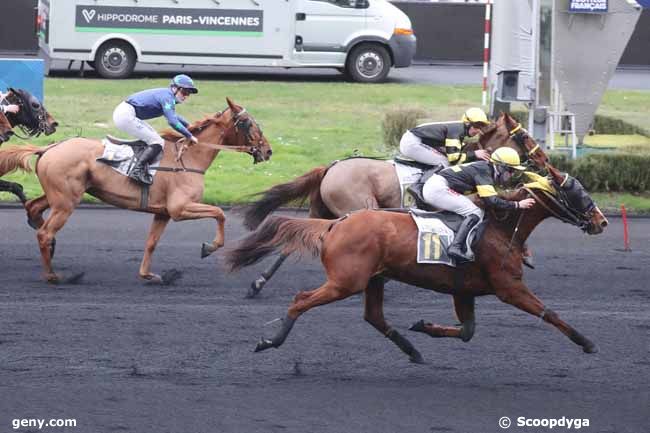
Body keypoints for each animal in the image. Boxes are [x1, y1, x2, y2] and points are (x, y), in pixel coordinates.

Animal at [0, 98, 270, 284]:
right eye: (248, 123)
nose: (267, 151)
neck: (189, 157)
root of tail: (50, 147)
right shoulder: (180, 208)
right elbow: (220, 214)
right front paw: (210, 247)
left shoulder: (163, 212)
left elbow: (151, 243)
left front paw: (149, 275)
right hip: (66, 202)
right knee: (44, 233)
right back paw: (53, 275)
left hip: (59, 197)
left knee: (34, 209)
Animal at [225, 165, 604, 362]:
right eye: (579, 193)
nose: (601, 221)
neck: (499, 227)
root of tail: (338, 224)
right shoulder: (508, 287)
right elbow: (548, 313)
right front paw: (586, 341)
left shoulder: (463, 290)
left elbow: (467, 331)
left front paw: (424, 326)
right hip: (346, 281)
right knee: (301, 300)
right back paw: (270, 341)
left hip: (373, 278)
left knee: (374, 317)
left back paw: (413, 350)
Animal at [240, 111, 544, 296]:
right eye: (524, 136)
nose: (542, 159)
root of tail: (330, 168)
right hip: (356, 208)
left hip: (322, 211)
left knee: (292, 242)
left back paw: (257, 283)